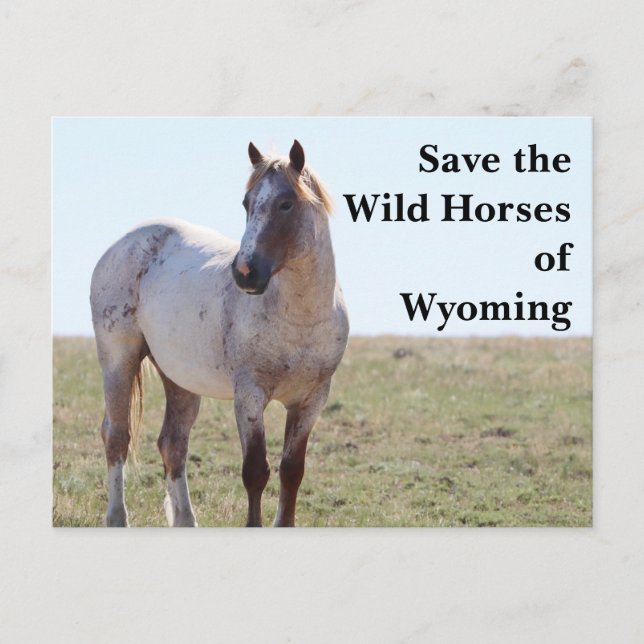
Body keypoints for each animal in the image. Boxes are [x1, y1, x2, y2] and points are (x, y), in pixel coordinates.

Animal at [90, 140, 349, 527]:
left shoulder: (311, 400)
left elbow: (292, 471)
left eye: (286, 203)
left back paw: (185, 520)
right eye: (247, 203)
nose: (244, 273)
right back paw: (118, 518)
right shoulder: (250, 396)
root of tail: (122, 245)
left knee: (173, 444)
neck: (300, 321)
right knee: (117, 436)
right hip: (118, 361)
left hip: (180, 380)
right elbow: (256, 471)